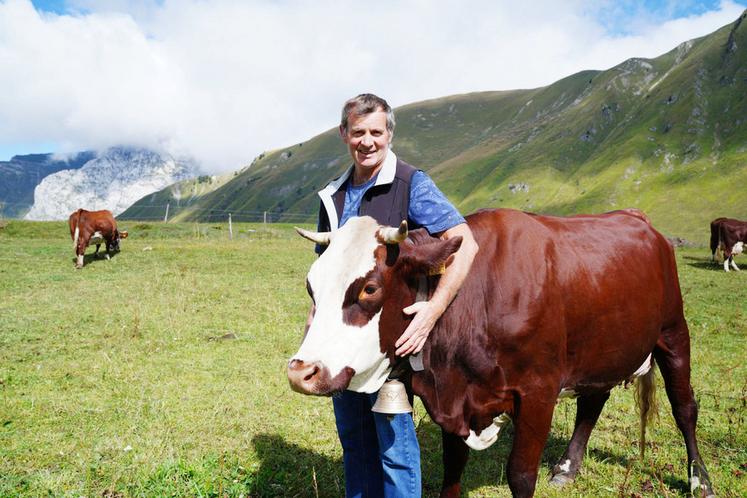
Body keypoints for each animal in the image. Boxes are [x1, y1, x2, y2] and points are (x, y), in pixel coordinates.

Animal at [290, 209, 716, 498]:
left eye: (370, 289)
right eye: (311, 286)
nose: (301, 372)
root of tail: (636, 218)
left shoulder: (538, 391)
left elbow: (521, 475)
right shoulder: (455, 401)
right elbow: (453, 467)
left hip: (673, 332)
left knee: (684, 408)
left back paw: (700, 479)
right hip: (601, 349)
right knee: (593, 401)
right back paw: (567, 467)